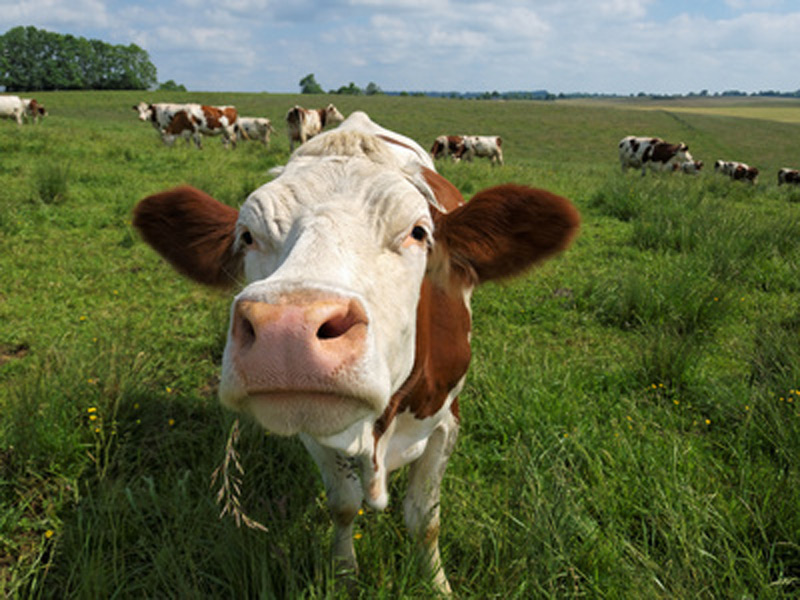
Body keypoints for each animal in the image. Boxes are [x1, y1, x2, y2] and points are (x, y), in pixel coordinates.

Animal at [133, 111, 580, 596]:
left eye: (418, 232)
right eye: (247, 236)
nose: (288, 332)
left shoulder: (446, 421)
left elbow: (425, 519)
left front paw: (437, 584)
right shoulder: (315, 434)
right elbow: (344, 505)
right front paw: (345, 574)